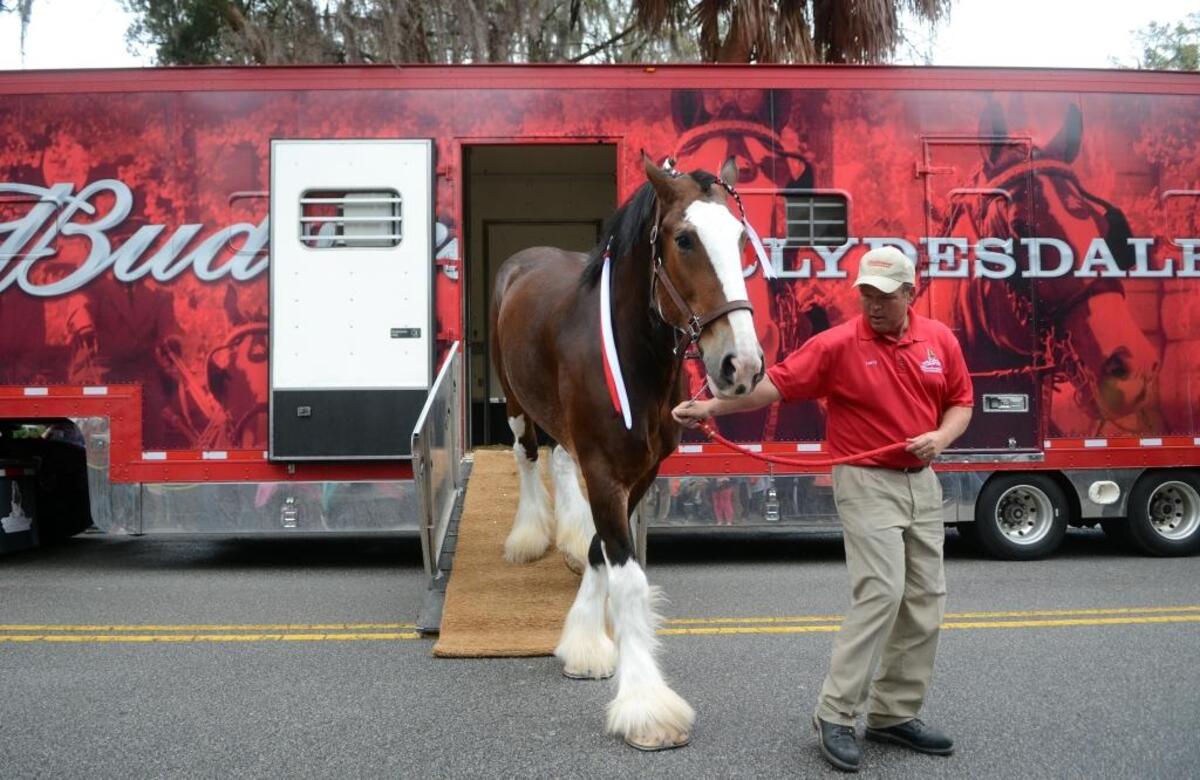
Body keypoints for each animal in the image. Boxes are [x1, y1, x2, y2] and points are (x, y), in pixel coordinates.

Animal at [490, 153, 764, 750]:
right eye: (684, 239)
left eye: (739, 237)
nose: (743, 365)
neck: (633, 354)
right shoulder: (604, 470)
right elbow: (629, 579)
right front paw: (647, 707)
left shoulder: (640, 471)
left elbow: (600, 551)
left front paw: (584, 643)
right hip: (517, 402)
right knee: (527, 457)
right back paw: (529, 536)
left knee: (559, 460)